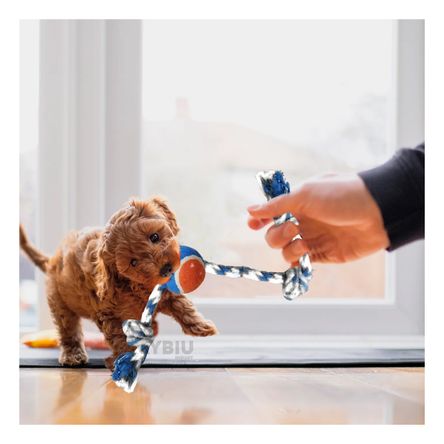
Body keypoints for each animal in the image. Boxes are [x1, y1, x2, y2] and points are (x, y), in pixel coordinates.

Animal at [20, 198, 218, 368]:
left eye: (154, 237)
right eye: (133, 263)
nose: (165, 269)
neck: (135, 285)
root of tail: (52, 261)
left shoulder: (165, 291)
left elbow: (182, 306)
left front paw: (201, 326)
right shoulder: (109, 314)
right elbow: (119, 337)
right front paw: (125, 358)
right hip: (60, 302)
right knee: (69, 330)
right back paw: (73, 355)